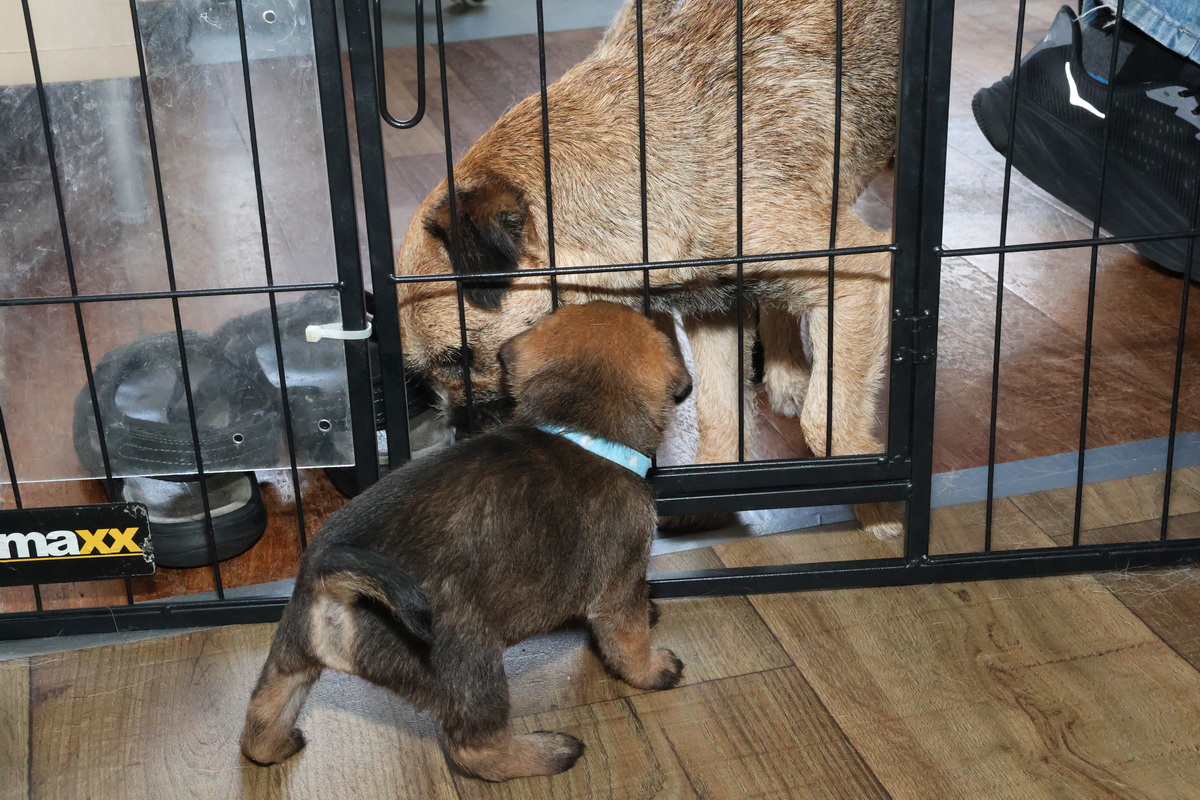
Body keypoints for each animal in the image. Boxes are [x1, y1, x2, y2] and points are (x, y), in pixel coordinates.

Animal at [241, 302, 692, 781]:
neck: (581, 429)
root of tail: (335, 585)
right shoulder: (620, 586)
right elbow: (629, 644)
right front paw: (654, 669)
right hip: (473, 665)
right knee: (475, 748)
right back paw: (548, 752)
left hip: (289, 655)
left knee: (261, 718)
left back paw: (276, 744)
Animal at [393, 0, 903, 538]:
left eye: (459, 358)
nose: (459, 435)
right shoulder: (717, 309)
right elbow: (720, 411)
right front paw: (713, 495)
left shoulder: (857, 277)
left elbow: (827, 422)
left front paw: (880, 508)